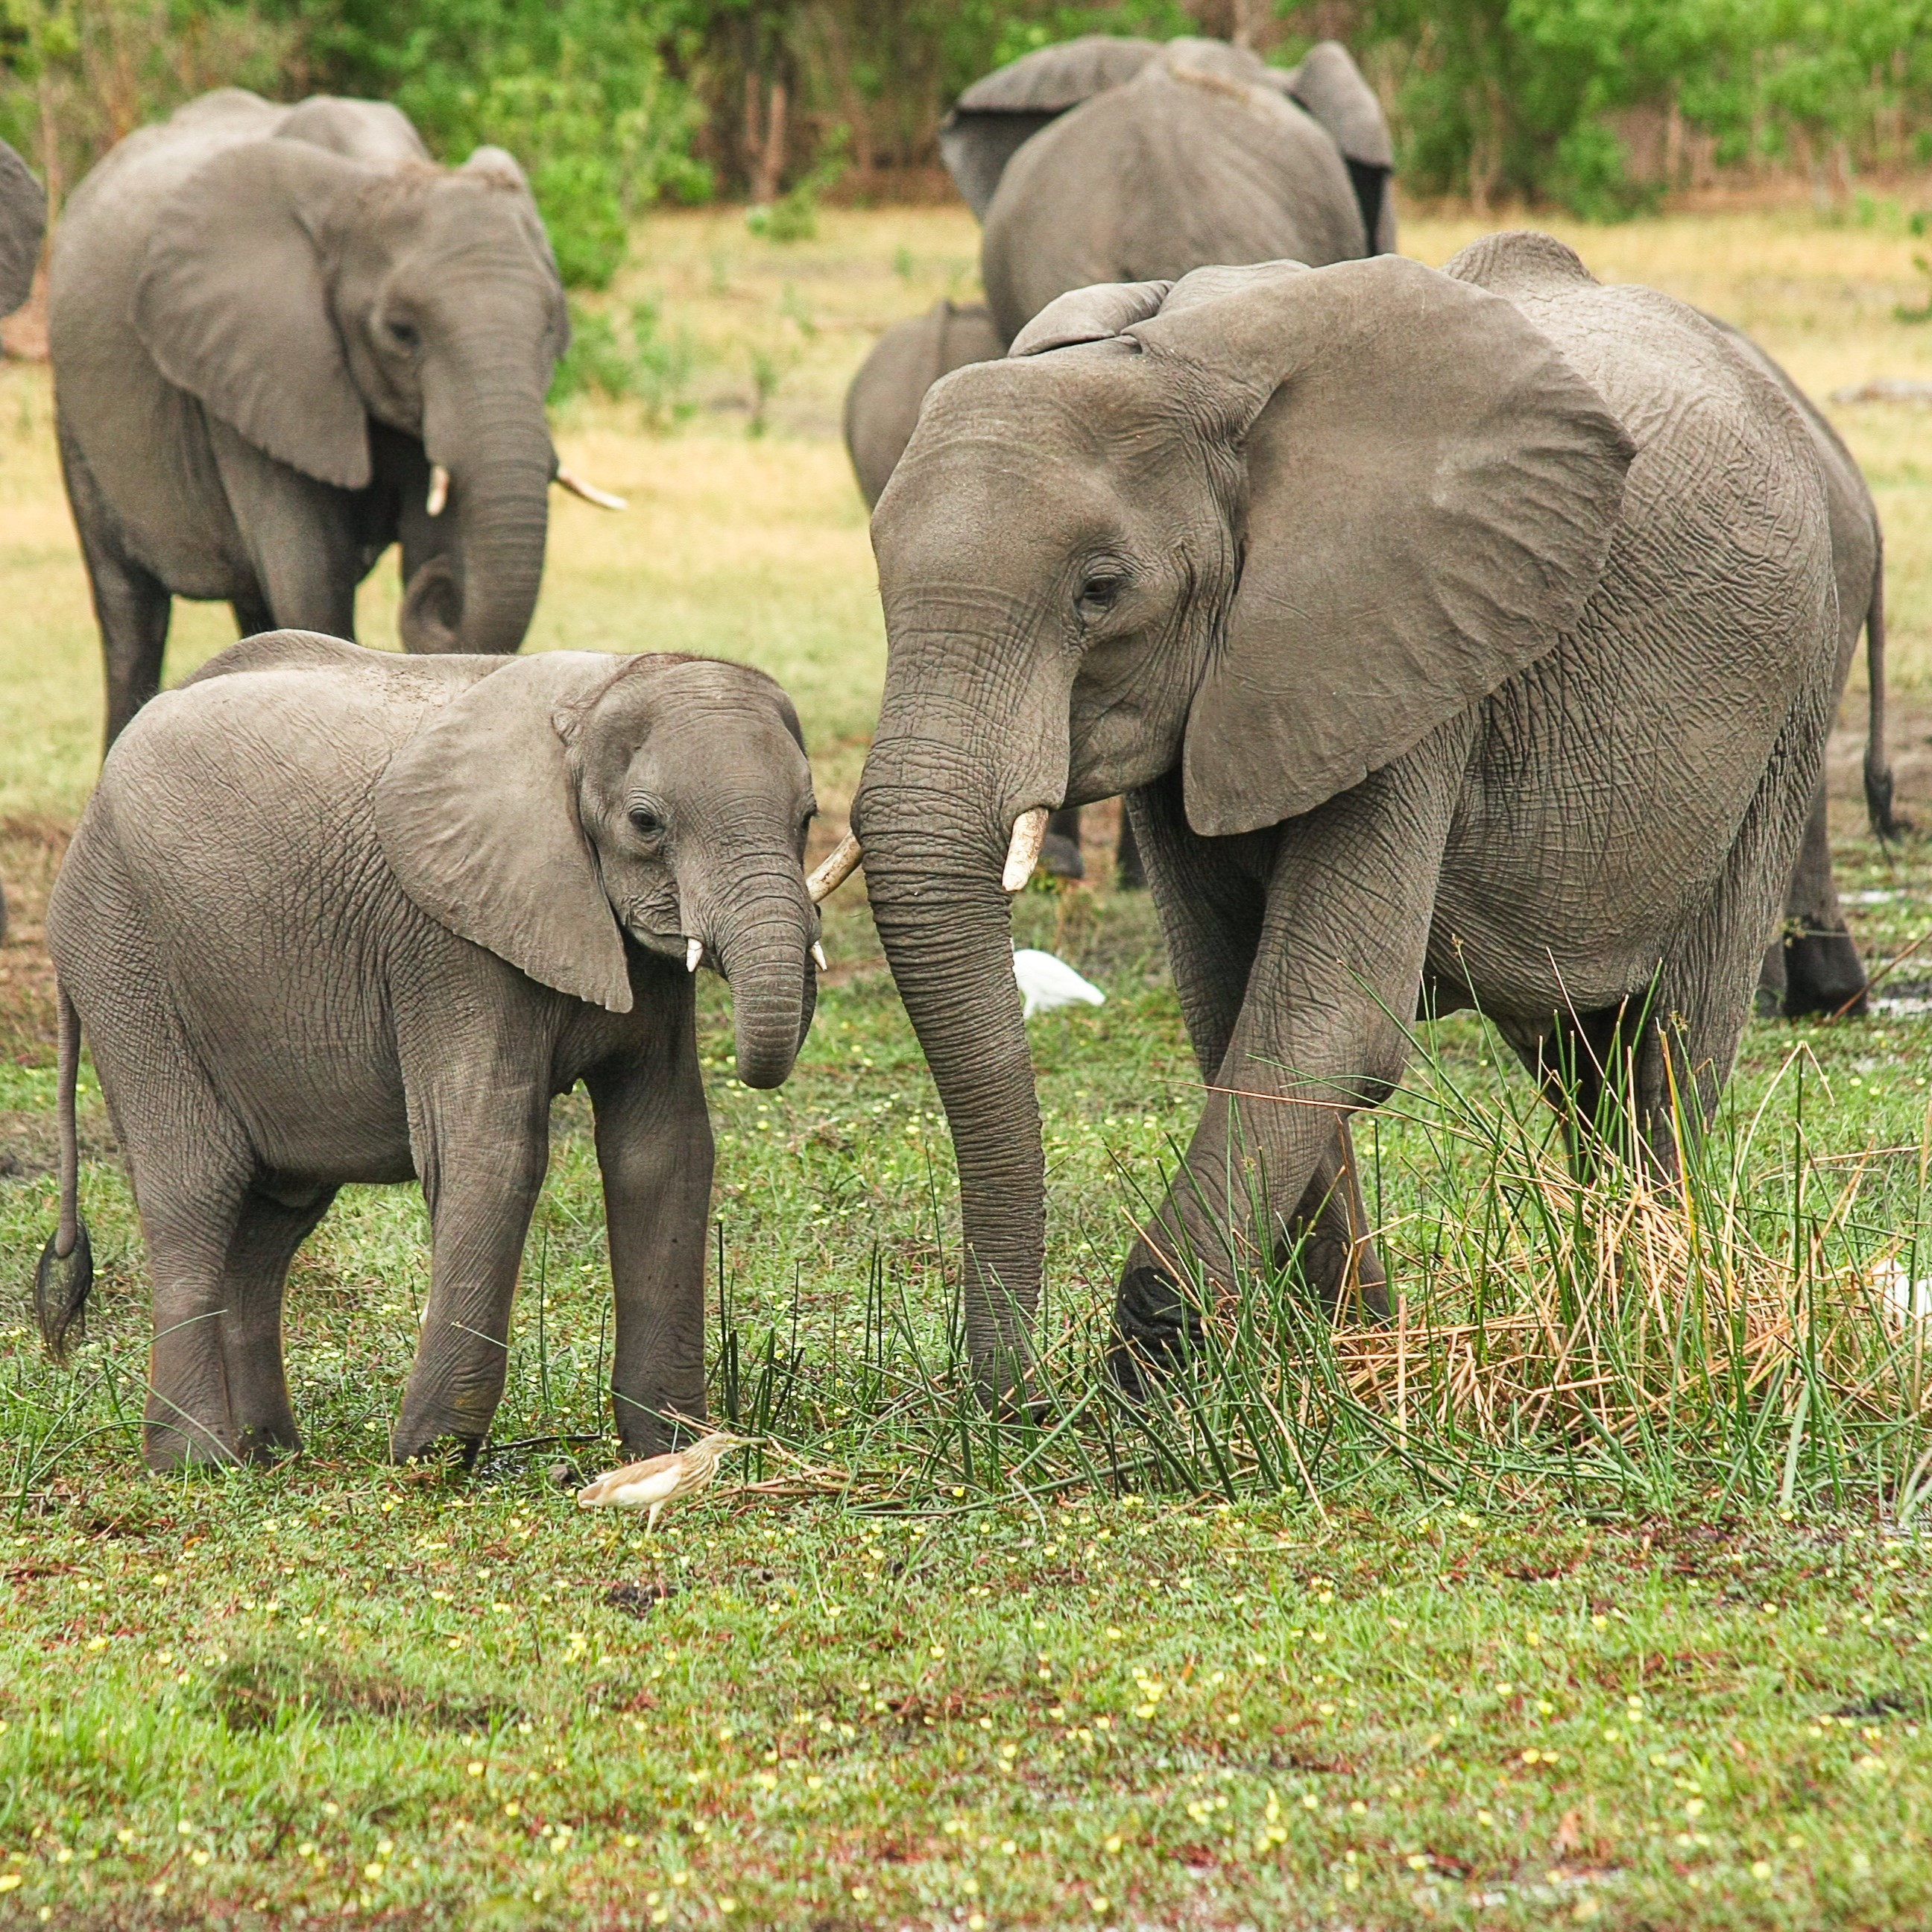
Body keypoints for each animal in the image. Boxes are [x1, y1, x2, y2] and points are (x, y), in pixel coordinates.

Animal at [35, 633, 846, 1472]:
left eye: (808, 816)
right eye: (646, 822)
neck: (595, 698)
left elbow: (664, 1147)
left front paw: (671, 1450)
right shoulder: (449, 939)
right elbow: (491, 1149)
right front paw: (428, 1458)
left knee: (271, 1220)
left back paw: (270, 1456)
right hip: (124, 955)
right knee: (196, 1189)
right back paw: (196, 1463)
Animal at [50, 90, 617, 751]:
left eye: (551, 326)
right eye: (402, 332)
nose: (445, 589)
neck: (379, 174)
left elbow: (424, 542)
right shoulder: (257, 368)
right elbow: (310, 581)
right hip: (76, 417)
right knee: (131, 615)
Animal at [848, 234, 1841, 1399]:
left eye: (1100, 590)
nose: (1017, 1403)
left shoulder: (1411, 649)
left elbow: (1327, 1014)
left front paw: (1158, 1374)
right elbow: (1234, 1007)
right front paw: (1346, 1360)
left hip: (1792, 700)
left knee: (1671, 1041)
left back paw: (1654, 1314)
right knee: (1576, 1059)